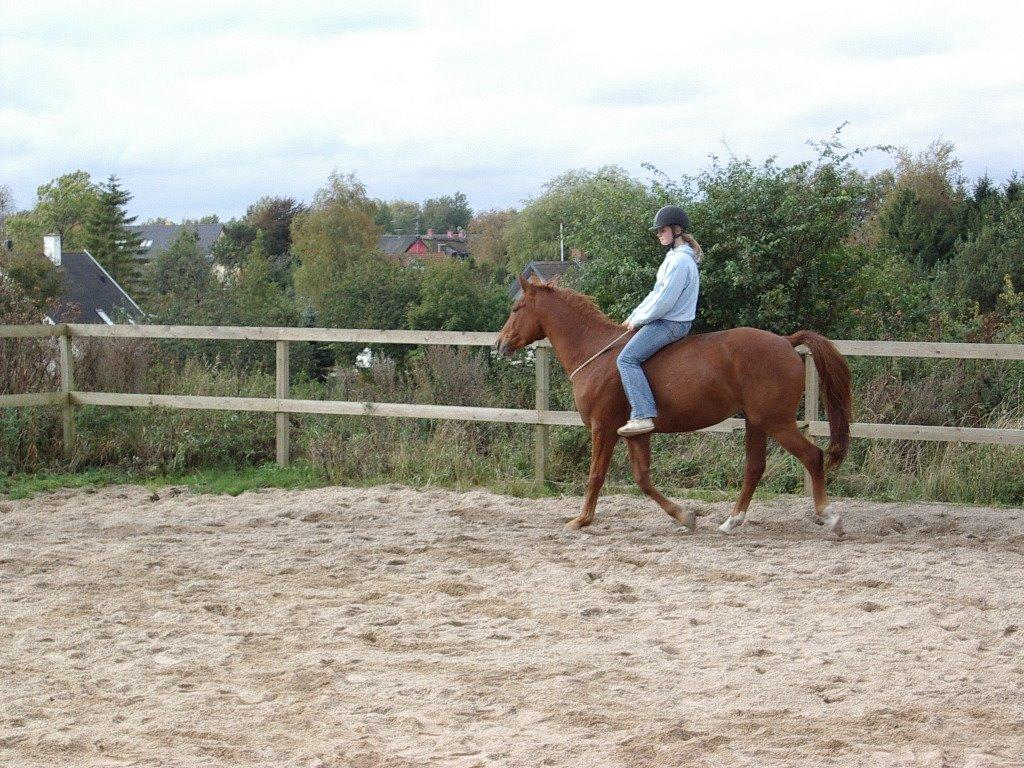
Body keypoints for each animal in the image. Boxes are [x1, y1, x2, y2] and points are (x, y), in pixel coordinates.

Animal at [491, 274, 851, 536]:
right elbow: (643, 479)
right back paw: (731, 522)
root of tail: (786, 342)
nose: (500, 344)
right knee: (754, 468)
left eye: (516, 308)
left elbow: (596, 475)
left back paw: (830, 518)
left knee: (812, 457)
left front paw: (581, 521)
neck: (595, 353)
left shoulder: (602, 427)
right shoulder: (635, 433)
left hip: (776, 421)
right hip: (756, 422)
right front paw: (685, 516)